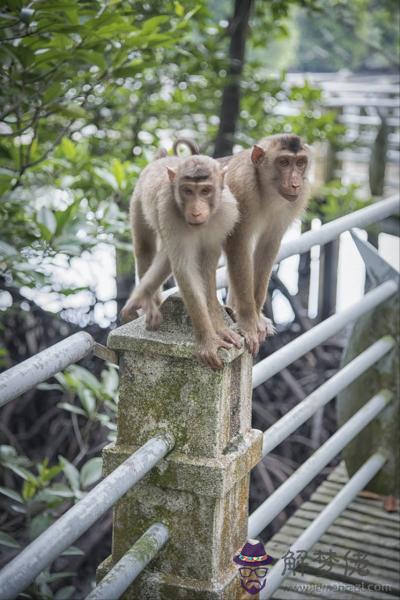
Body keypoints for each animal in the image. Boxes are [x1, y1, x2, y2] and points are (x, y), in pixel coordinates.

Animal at [120, 154, 242, 370]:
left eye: (205, 191)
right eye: (187, 191)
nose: (196, 211)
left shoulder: (226, 214)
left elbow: (207, 268)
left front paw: (219, 327)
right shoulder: (169, 213)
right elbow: (185, 269)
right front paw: (208, 340)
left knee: (165, 256)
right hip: (138, 199)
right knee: (145, 248)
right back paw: (147, 301)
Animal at [222, 135, 312, 356]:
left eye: (300, 163)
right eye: (284, 162)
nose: (295, 183)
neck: (266, 190)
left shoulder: (297, 200)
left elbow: (268, 246)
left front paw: (257, 317)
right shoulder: (241, 187)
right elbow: (238, 242)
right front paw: (248, 322)